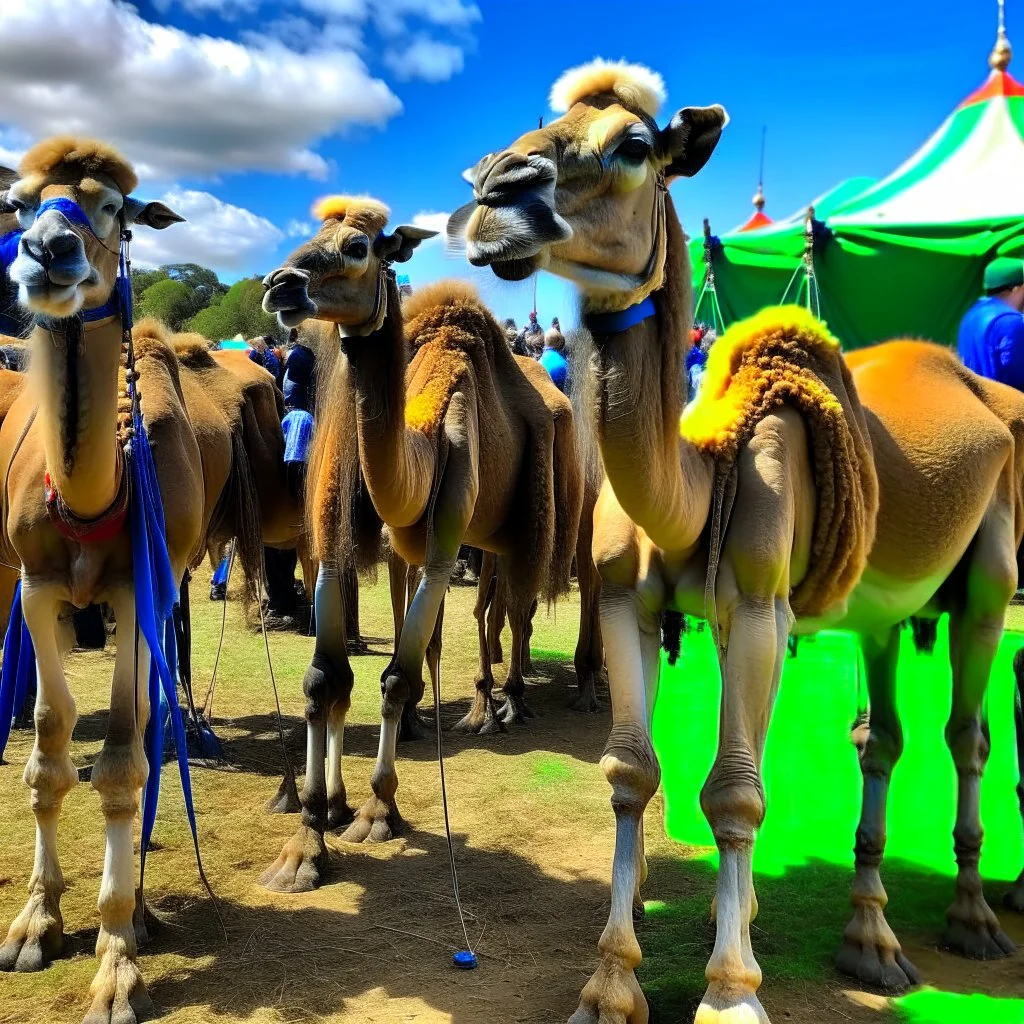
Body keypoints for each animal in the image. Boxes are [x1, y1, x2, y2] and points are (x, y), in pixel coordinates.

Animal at [258, 197, 585, 888]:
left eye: (358, 247)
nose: (280, 284)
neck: (423, 444)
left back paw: (508, 706)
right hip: (482, 543)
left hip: (519, 530)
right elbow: (326, 680)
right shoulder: (341, 551)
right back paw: (470, 710)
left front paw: (378, 810)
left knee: (513, 610)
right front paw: (309, 834)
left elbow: (392, 679)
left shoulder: (441, 551)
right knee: (483, 614)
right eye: (313, 234)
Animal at [460, 61, 1024, 1024]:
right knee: (882, 735)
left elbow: (734, 791)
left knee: (967, 733)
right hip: (877, 614)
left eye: (633, 146)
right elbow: (631, 772)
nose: (496, 190)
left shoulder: (761, 604)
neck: (698, 478)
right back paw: (869, 934)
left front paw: (729, 989)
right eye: (537, 129)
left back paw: (973, 914)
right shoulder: (632, 599)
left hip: (989, 576)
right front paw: (613, 982)